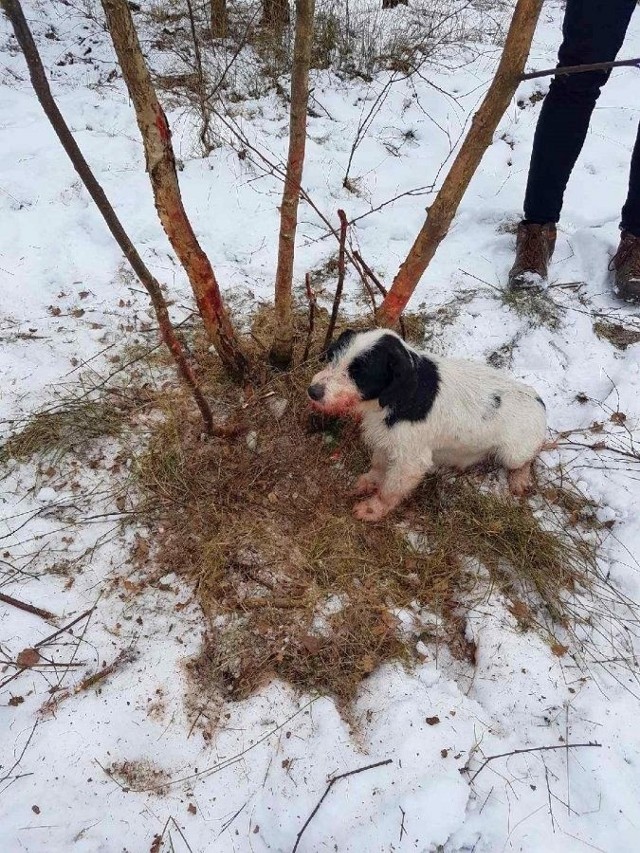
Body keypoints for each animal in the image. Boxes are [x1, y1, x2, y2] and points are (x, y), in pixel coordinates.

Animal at [308, 330, 548, 524]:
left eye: (359, 373)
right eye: (332, 357)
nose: (313, 391)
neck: (403, 395)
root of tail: (539, 401)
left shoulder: (411, 460)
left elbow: (390, 489)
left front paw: (371, 510)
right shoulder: (386, 440)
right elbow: (378, 465)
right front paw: (368, 482)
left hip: (512, 454)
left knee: (527, 460)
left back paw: (519, 480)